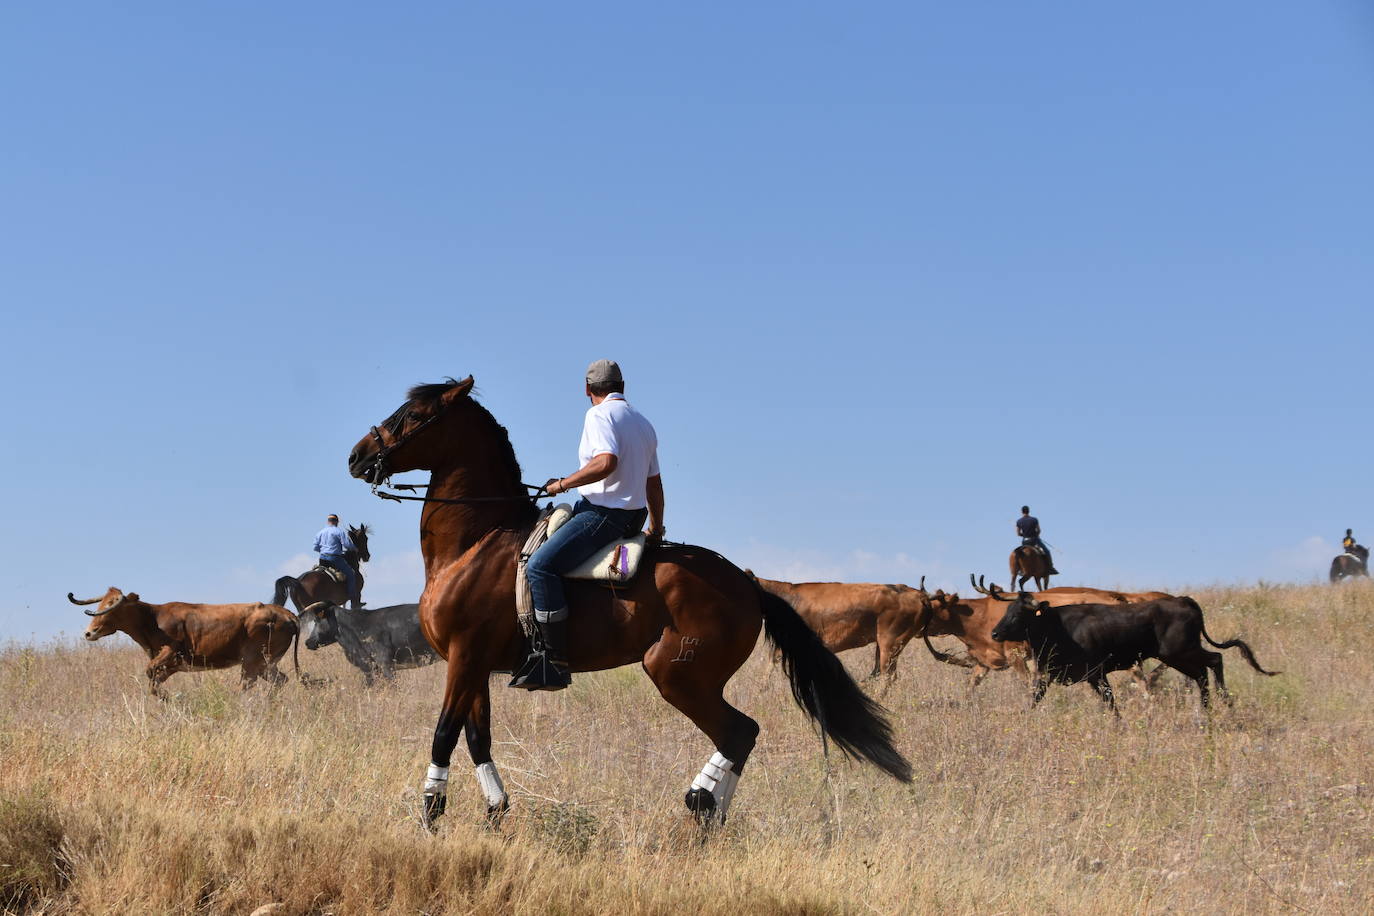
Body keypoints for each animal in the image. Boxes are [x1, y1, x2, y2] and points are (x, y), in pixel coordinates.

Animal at [68, 587, 299, 694]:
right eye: (101, 603)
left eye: (112, 606)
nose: (89, 632)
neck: (152, 618)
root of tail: (286, 614)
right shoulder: (172, 665)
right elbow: (153, 681)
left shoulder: (172, 652)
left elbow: (150, 671)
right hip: (266, 664)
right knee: (280, 680)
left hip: (252, 661)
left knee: (245, 686)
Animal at [343, 376, 912, 829]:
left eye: (413, 416)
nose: (356, 455)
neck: (477, 541)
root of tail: (748, 584)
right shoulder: (476, 663)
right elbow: (477, 737)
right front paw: (495, 813)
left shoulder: (463, 657)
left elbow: (443, 734)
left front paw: (431, 815)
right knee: (741, 735)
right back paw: (711, 813)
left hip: (676, 673)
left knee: (739, 731)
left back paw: (703, 805)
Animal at [989, 590, 1275, 714]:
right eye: (1007, 610)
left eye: (1018, 614)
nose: (994, 633)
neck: (1057, 626)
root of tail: (1183, 600)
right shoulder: (1049, 674)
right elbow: (1034, 698)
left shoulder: (1097, 673)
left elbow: (1110, 702)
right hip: (1180, 654)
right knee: (1204, 671)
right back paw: (1207, 711)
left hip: (1178, 652)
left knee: (1215, 660)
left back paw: (1223, 702)